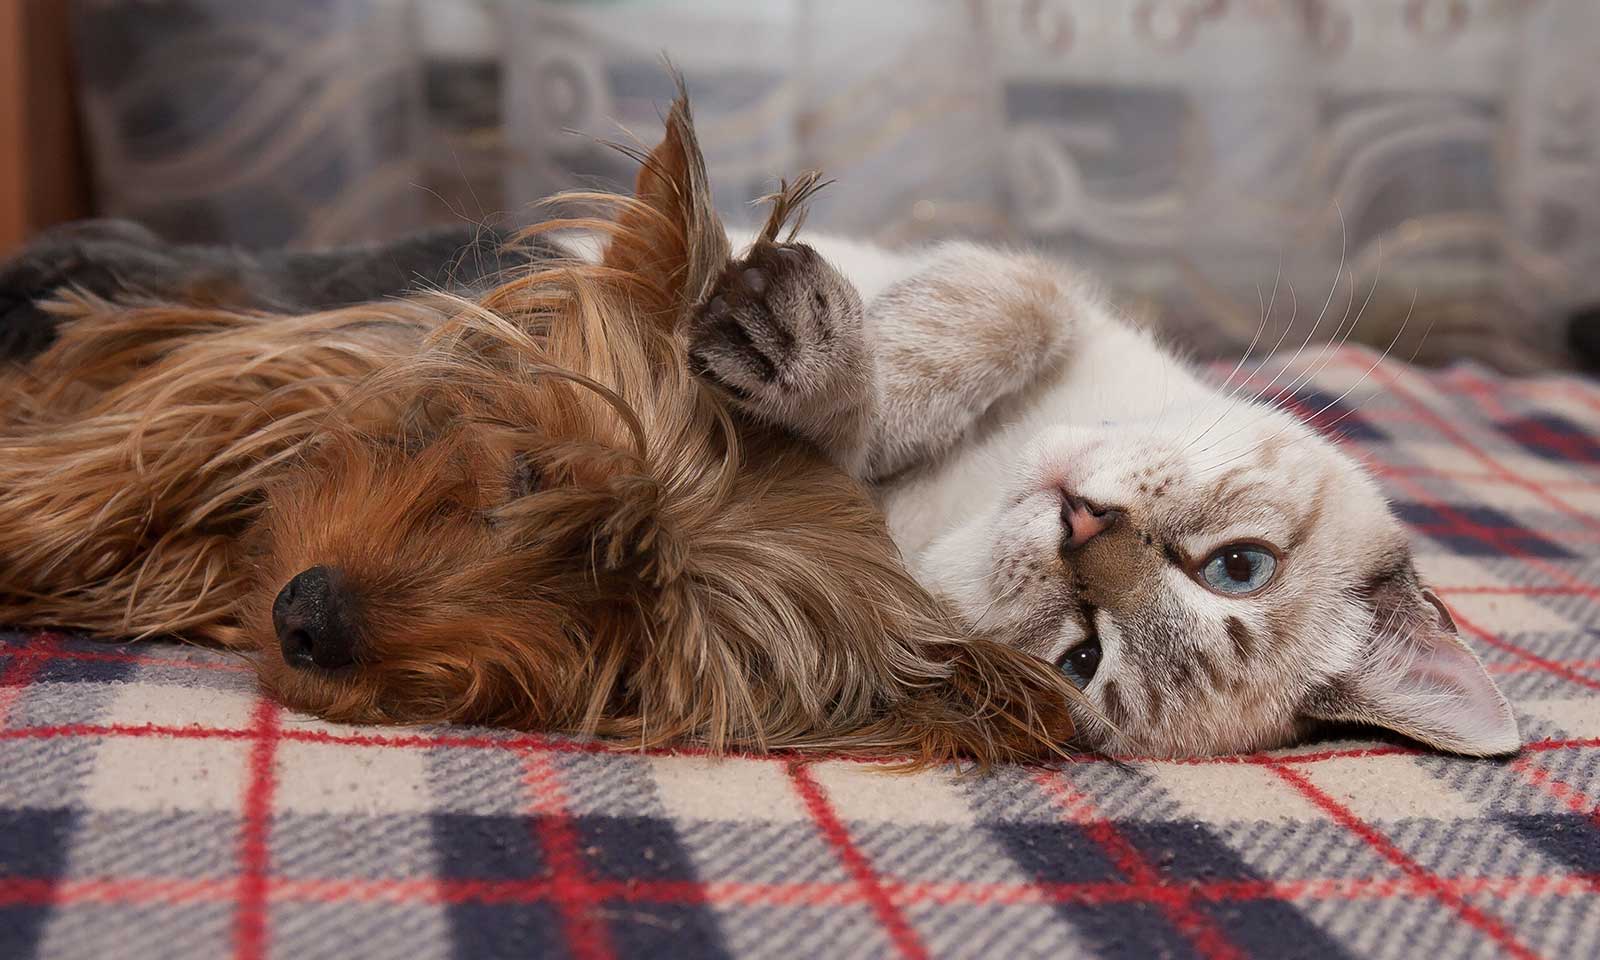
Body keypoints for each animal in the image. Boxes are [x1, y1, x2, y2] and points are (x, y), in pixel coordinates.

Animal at [681, 233, 1516, 758]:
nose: (1080, 525)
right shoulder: (1058, 301)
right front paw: (855, 359)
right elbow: (1018, 312)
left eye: (1083, 659)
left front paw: (825, 378)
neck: (977, 492)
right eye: (1240, 567)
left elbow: (841, 438)